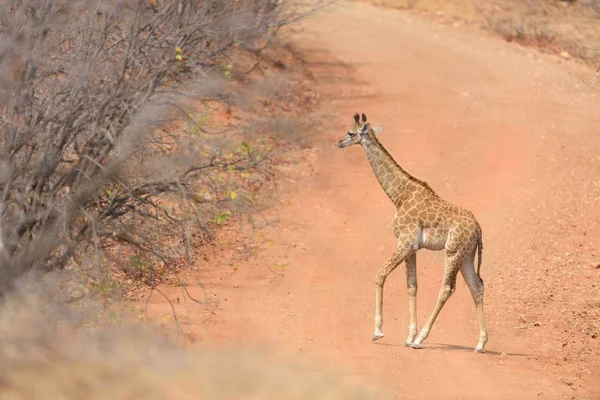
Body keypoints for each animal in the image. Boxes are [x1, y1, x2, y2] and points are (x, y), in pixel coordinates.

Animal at [338, 112, 488, 354]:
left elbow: (380, 275)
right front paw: (408, 336)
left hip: (453, 252)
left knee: (447, 288)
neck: (399, 194)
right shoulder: (412, 248)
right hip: (467, 255)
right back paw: (480, 343)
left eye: (351, 133)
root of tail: (478, 229)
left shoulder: (405, 243)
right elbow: (412, 286)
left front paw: (379, 332)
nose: (339, 142)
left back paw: (422, 339)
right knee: (476, 287)